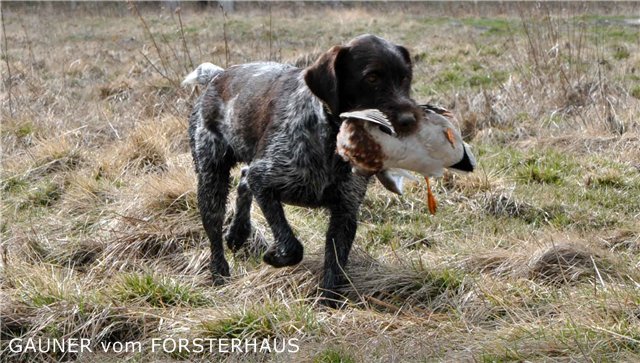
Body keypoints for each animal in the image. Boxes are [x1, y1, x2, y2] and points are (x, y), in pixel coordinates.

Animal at [185, 34, 424, 308]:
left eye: (405, 77)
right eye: (372, 77)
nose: (409, 121)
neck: (331, 140)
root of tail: (218, 76)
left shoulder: (346, 209)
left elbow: (335, 264)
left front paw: (328, 303)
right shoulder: (265, 180)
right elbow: (292, 246)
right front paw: (274, 256)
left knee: (244, 179)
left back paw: (238, 232)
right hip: (210, 177)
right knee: (215, 224)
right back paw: (219, 272)